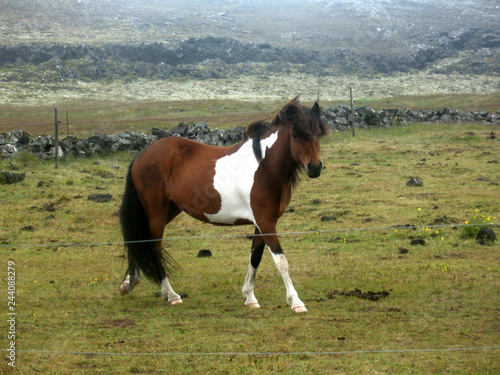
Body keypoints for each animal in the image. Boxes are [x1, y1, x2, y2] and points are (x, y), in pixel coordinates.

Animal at [119, 97, 330, 314]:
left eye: (318, 134)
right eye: (296, 135)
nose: (315, 167)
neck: (264, 168)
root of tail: (141, 155)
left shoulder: (261, 223)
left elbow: (255, 257)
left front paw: (250, 297)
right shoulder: (266, 222)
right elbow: (281, 261)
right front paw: (296, 302)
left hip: (168, 210)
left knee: (139, 241)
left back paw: (129, 283)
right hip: (156, 212)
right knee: (153, 248)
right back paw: (171, 295)